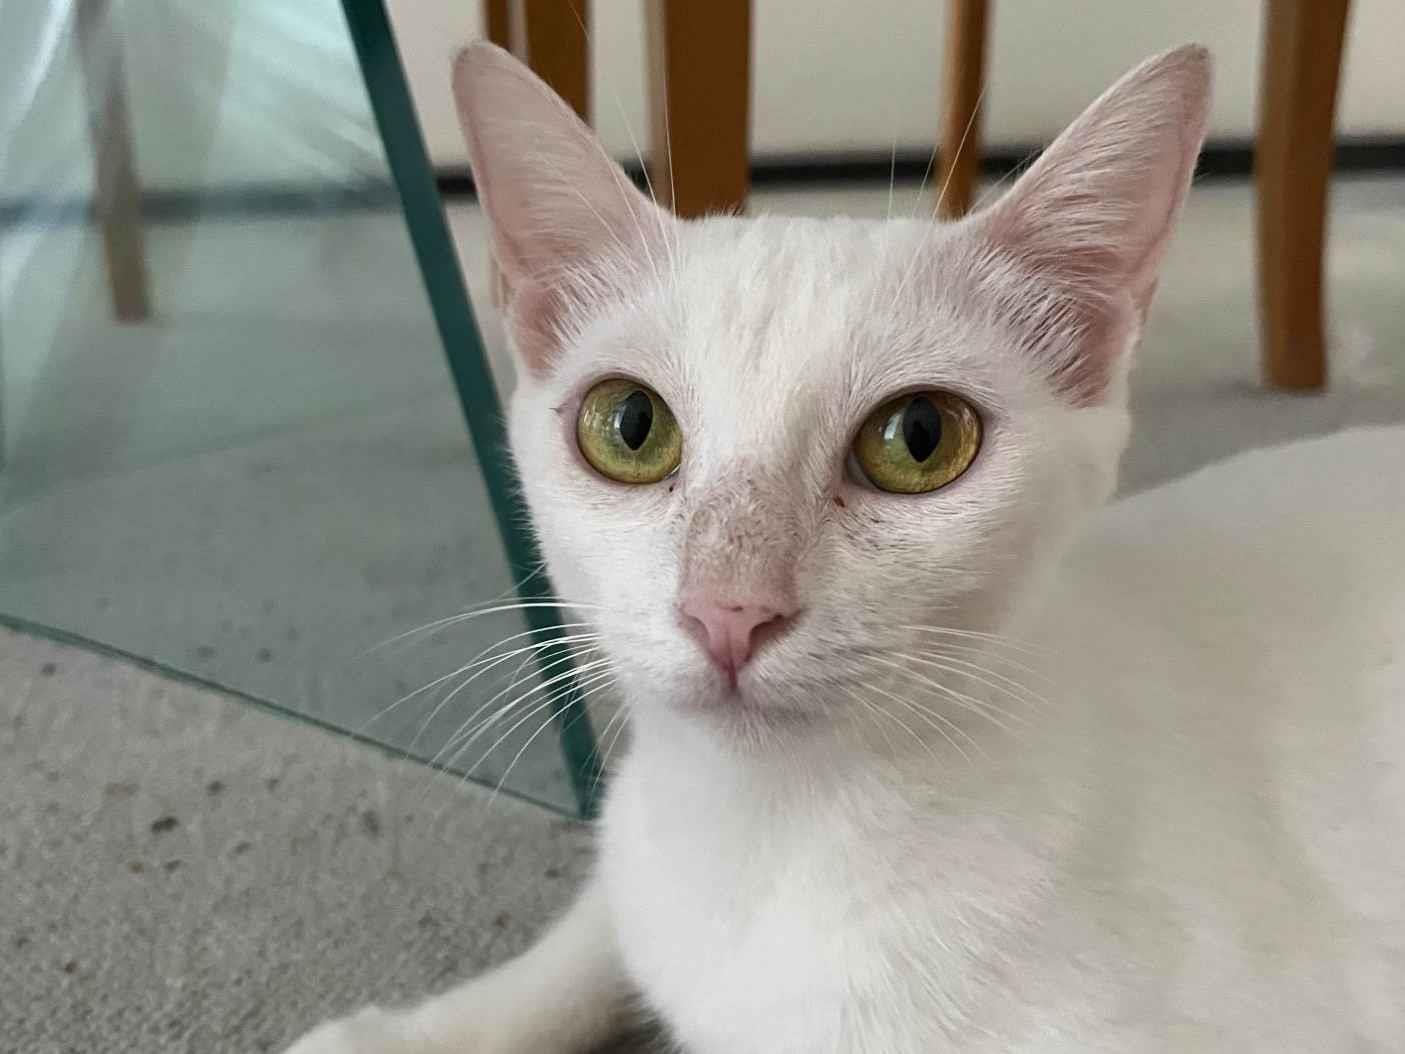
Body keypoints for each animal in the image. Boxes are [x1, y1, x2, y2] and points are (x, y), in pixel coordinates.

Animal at [286, 41, 1405, 1053]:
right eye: (629, 426)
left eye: (920, 437)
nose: (728, 608)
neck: (757, 834)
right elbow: (595, 925)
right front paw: (406, 1032)